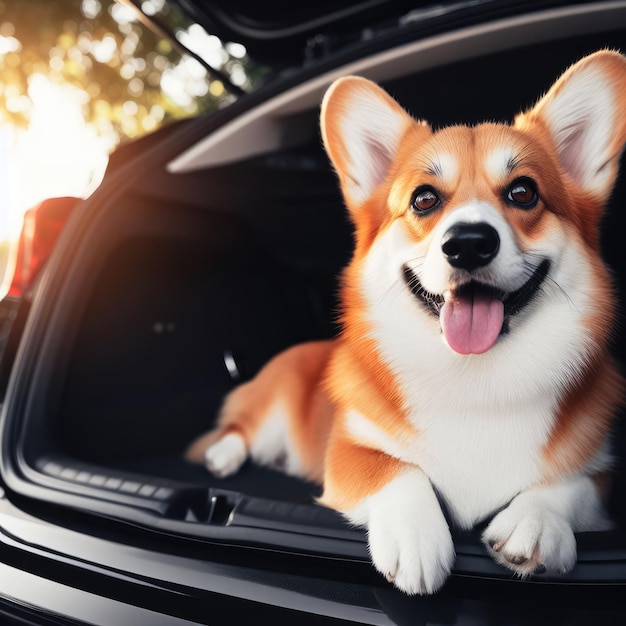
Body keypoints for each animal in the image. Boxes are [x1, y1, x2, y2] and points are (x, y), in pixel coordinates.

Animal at [185, 51, 624, 592]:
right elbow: (394, 468)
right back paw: (222, 457)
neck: (475, 381)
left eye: (524, 192)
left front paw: (536, 520)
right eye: (424, 199)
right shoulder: (347, 450)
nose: (469, 243)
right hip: (268, 409)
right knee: (238, 428)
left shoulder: (601, 473)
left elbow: (573, 483)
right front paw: (415, 538)